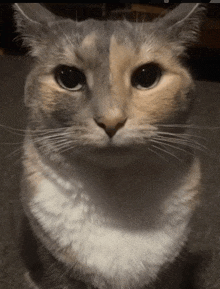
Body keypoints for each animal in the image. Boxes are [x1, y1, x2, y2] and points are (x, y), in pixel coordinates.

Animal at [14, 3, 206, 288]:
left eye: (147, 76)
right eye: (68, 77)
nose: (111, 120)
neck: (116, 199)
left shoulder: (172, 269)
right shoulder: (55, 267)